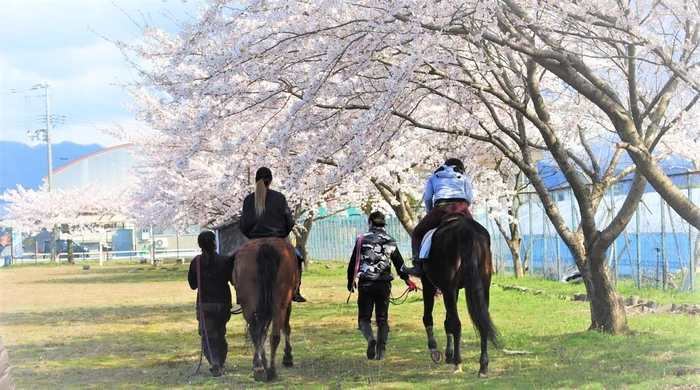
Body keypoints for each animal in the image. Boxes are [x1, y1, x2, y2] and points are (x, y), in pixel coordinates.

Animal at [228, 236, 296, 382]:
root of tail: (265, 246)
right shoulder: (287, 303)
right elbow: (286, 328)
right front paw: (287, 357)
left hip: (249, 303)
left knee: (258, 332)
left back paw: (260, 368)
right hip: (280, 302)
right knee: (270, 334)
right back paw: (269, 370)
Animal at [418, 213, 500, 378]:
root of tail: (467, 231)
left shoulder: (430, 284)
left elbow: (429, 317)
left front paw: (435, 350)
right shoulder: (454, 290)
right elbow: (447, 321)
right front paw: (448, 353)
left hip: (447, 287)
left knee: (457, 323)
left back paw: (457, 363)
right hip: (484, 285)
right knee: (483, 322)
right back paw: (483, 367)